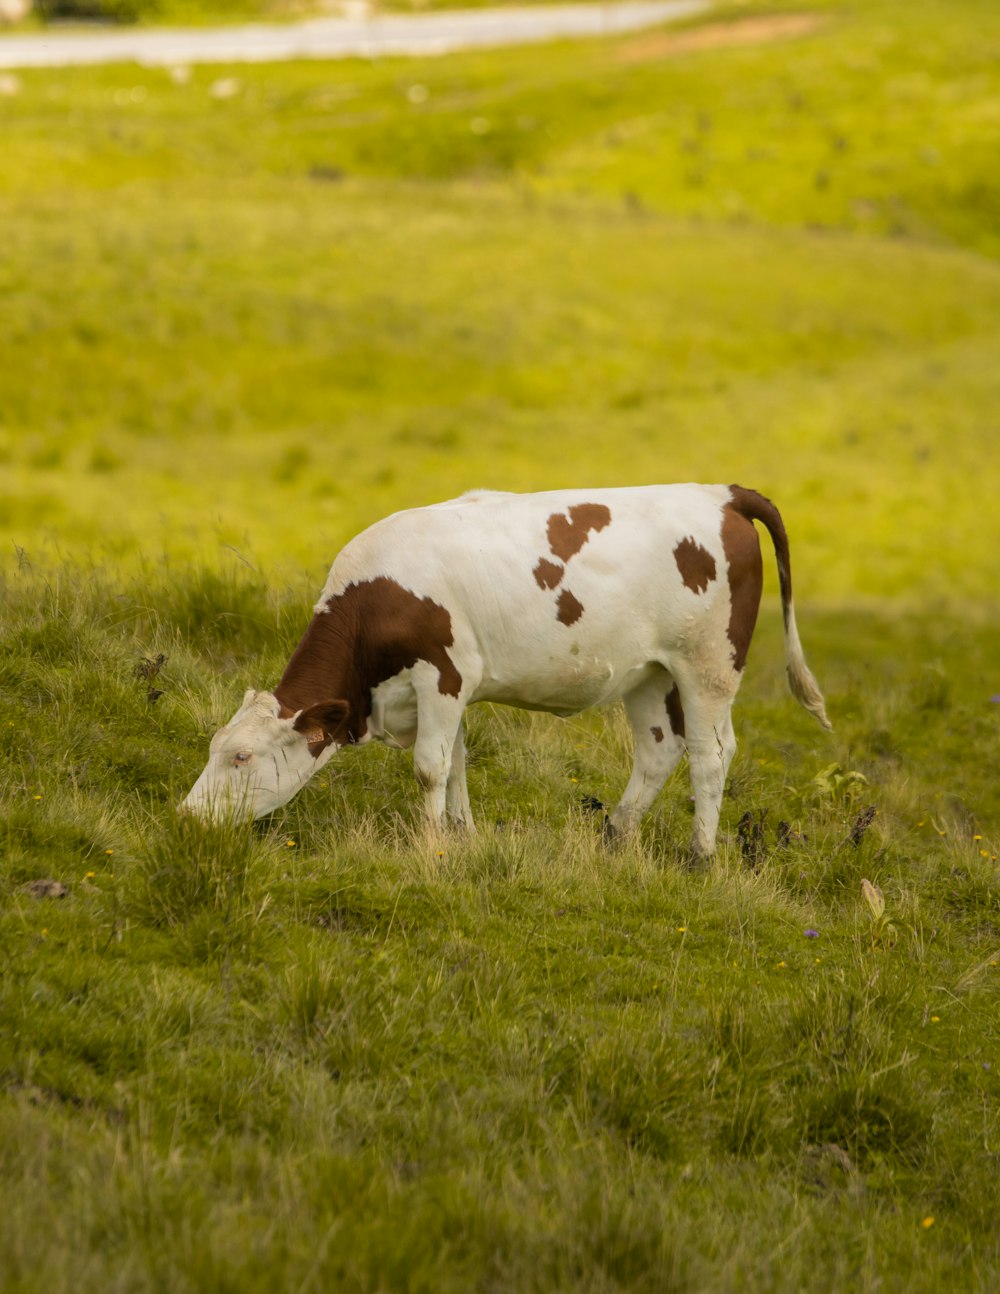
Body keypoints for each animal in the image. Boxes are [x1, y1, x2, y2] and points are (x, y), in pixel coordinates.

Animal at [183, 486, 833, 859]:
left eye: (241, 757)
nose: (186, 817)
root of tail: (723, 493)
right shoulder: (450, 690)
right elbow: (456, 765)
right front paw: (462, 835)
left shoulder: (441, 674)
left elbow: (429, 767)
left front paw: (429, 845)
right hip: (649, 671)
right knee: (658, 748)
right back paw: (616, 837)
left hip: (708, 662)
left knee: (711, 752)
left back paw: (701, 854)